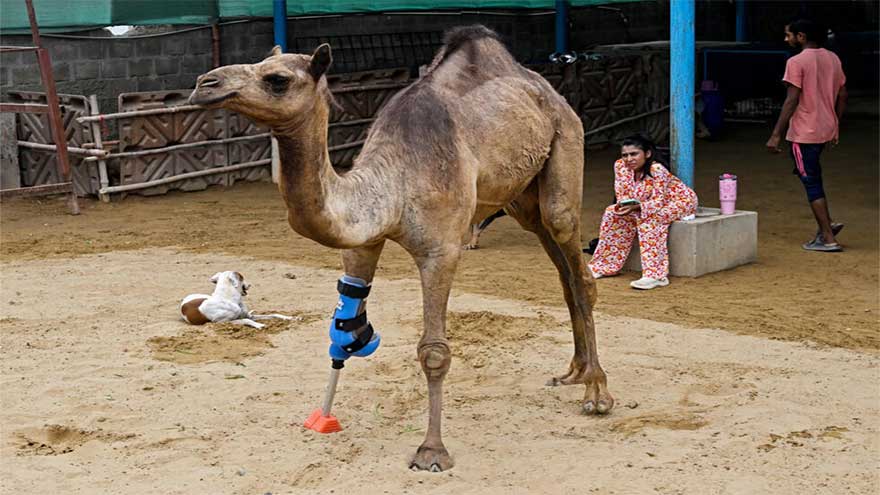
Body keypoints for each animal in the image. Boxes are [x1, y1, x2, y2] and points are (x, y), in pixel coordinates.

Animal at [188, 25, 614, 472]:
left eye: (277, 79)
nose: (205, 83)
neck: (392, 186)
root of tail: (547, 90)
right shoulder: (361, 245)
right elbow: (341, 332)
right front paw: (322, 417)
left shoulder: (441, 249)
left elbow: (434, 351)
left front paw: (432, 451)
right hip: (523, 198)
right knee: (563, 273)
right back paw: (573, 372)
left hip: (566, 148)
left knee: (578, 268)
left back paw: (597, 393)